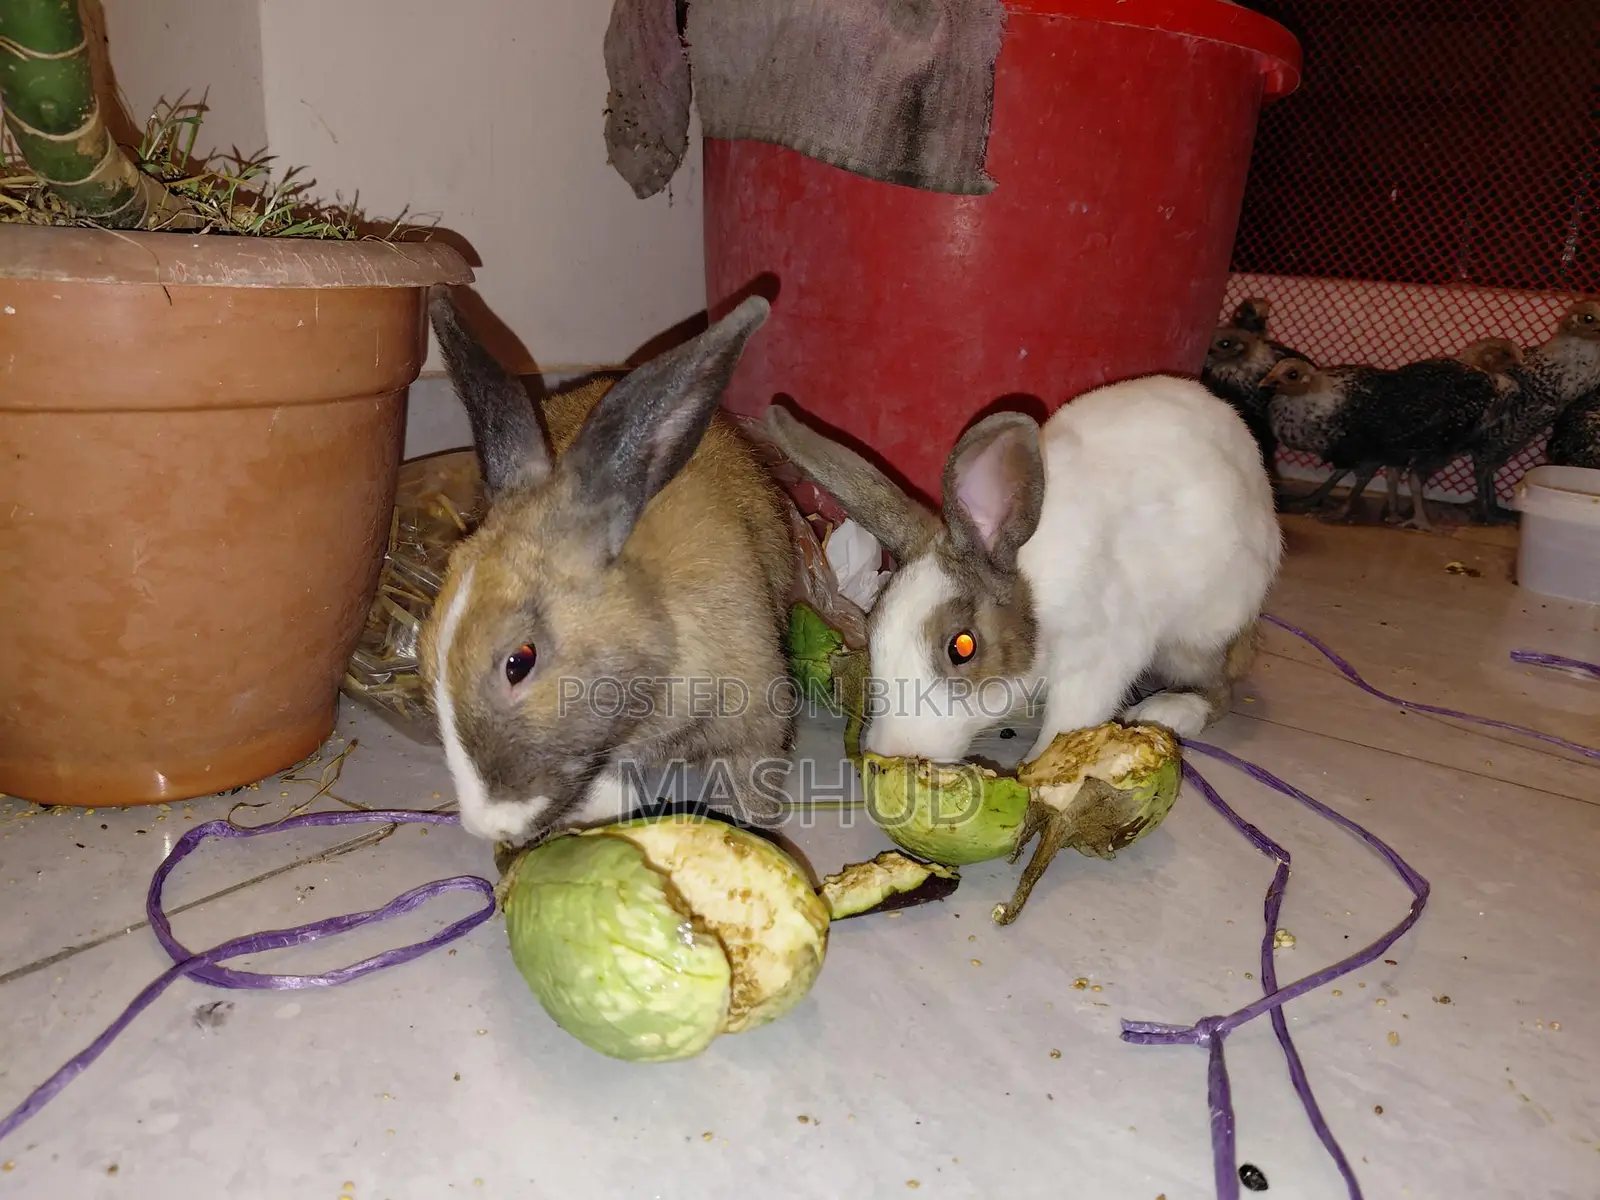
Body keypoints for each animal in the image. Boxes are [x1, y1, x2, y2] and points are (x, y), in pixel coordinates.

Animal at [761, 373, 1283, 763]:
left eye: (962, 647)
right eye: (872, 632)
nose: (896, 752)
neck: (1029, 583)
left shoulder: (1101, 656)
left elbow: (1070, 721)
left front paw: (1039, 772)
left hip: (1198, 636)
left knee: (1221, 687)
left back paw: (1172, 710)